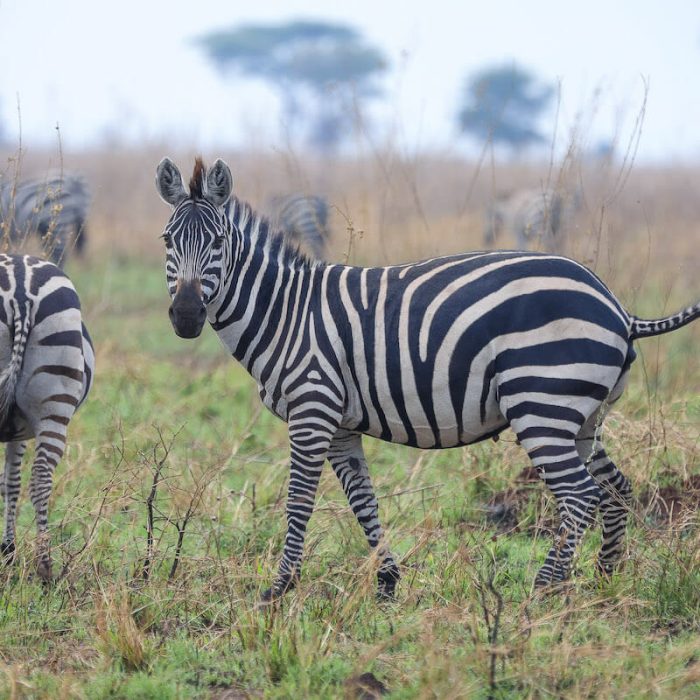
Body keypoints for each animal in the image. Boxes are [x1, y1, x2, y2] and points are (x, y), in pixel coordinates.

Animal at [0, 254, 94, 584]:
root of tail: (19, 287)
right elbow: (10, 483)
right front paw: (8, 551)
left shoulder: (14, 429)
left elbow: (10, 483)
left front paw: (8, 552)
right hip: (55, 405)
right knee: (41, 478)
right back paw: (45, 566)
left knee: (39, 477)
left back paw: (44, 567)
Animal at [154, 157, 700, 600]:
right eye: (166, 241)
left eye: (218, 242)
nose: (186, 317)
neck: (285, 312)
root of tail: (618, 307)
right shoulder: (341, 425)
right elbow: (364, 503)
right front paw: (387, 583)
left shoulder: (312, 411)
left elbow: (298, 503)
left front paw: (279, 589)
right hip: (583, 417)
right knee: (615, 490)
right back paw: (602, 582)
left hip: (540, 404)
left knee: (580, 495)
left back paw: (543, 591)